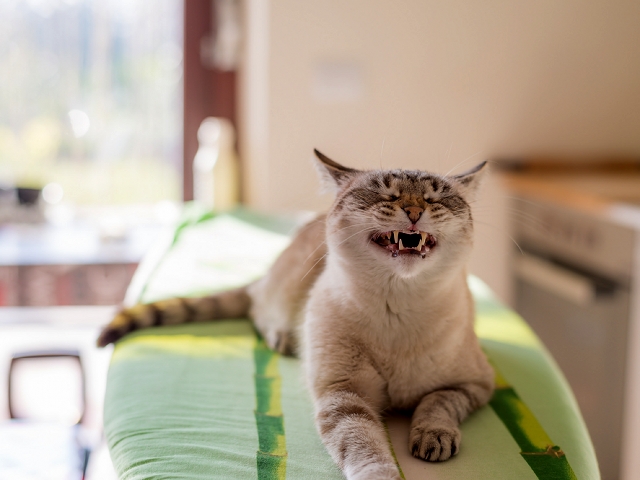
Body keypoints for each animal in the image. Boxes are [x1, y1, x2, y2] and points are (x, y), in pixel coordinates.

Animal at [97, 151, 496, 480]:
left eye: (436, 198)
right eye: (385, 195)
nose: (415, 212)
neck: (400, 307)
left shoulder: (474, 384)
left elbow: (437, 404)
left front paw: (433, 437)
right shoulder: (344, 395)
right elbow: (366, 449)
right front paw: (384, 474)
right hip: (283, 296)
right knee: (258, 308)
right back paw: (285, 339)